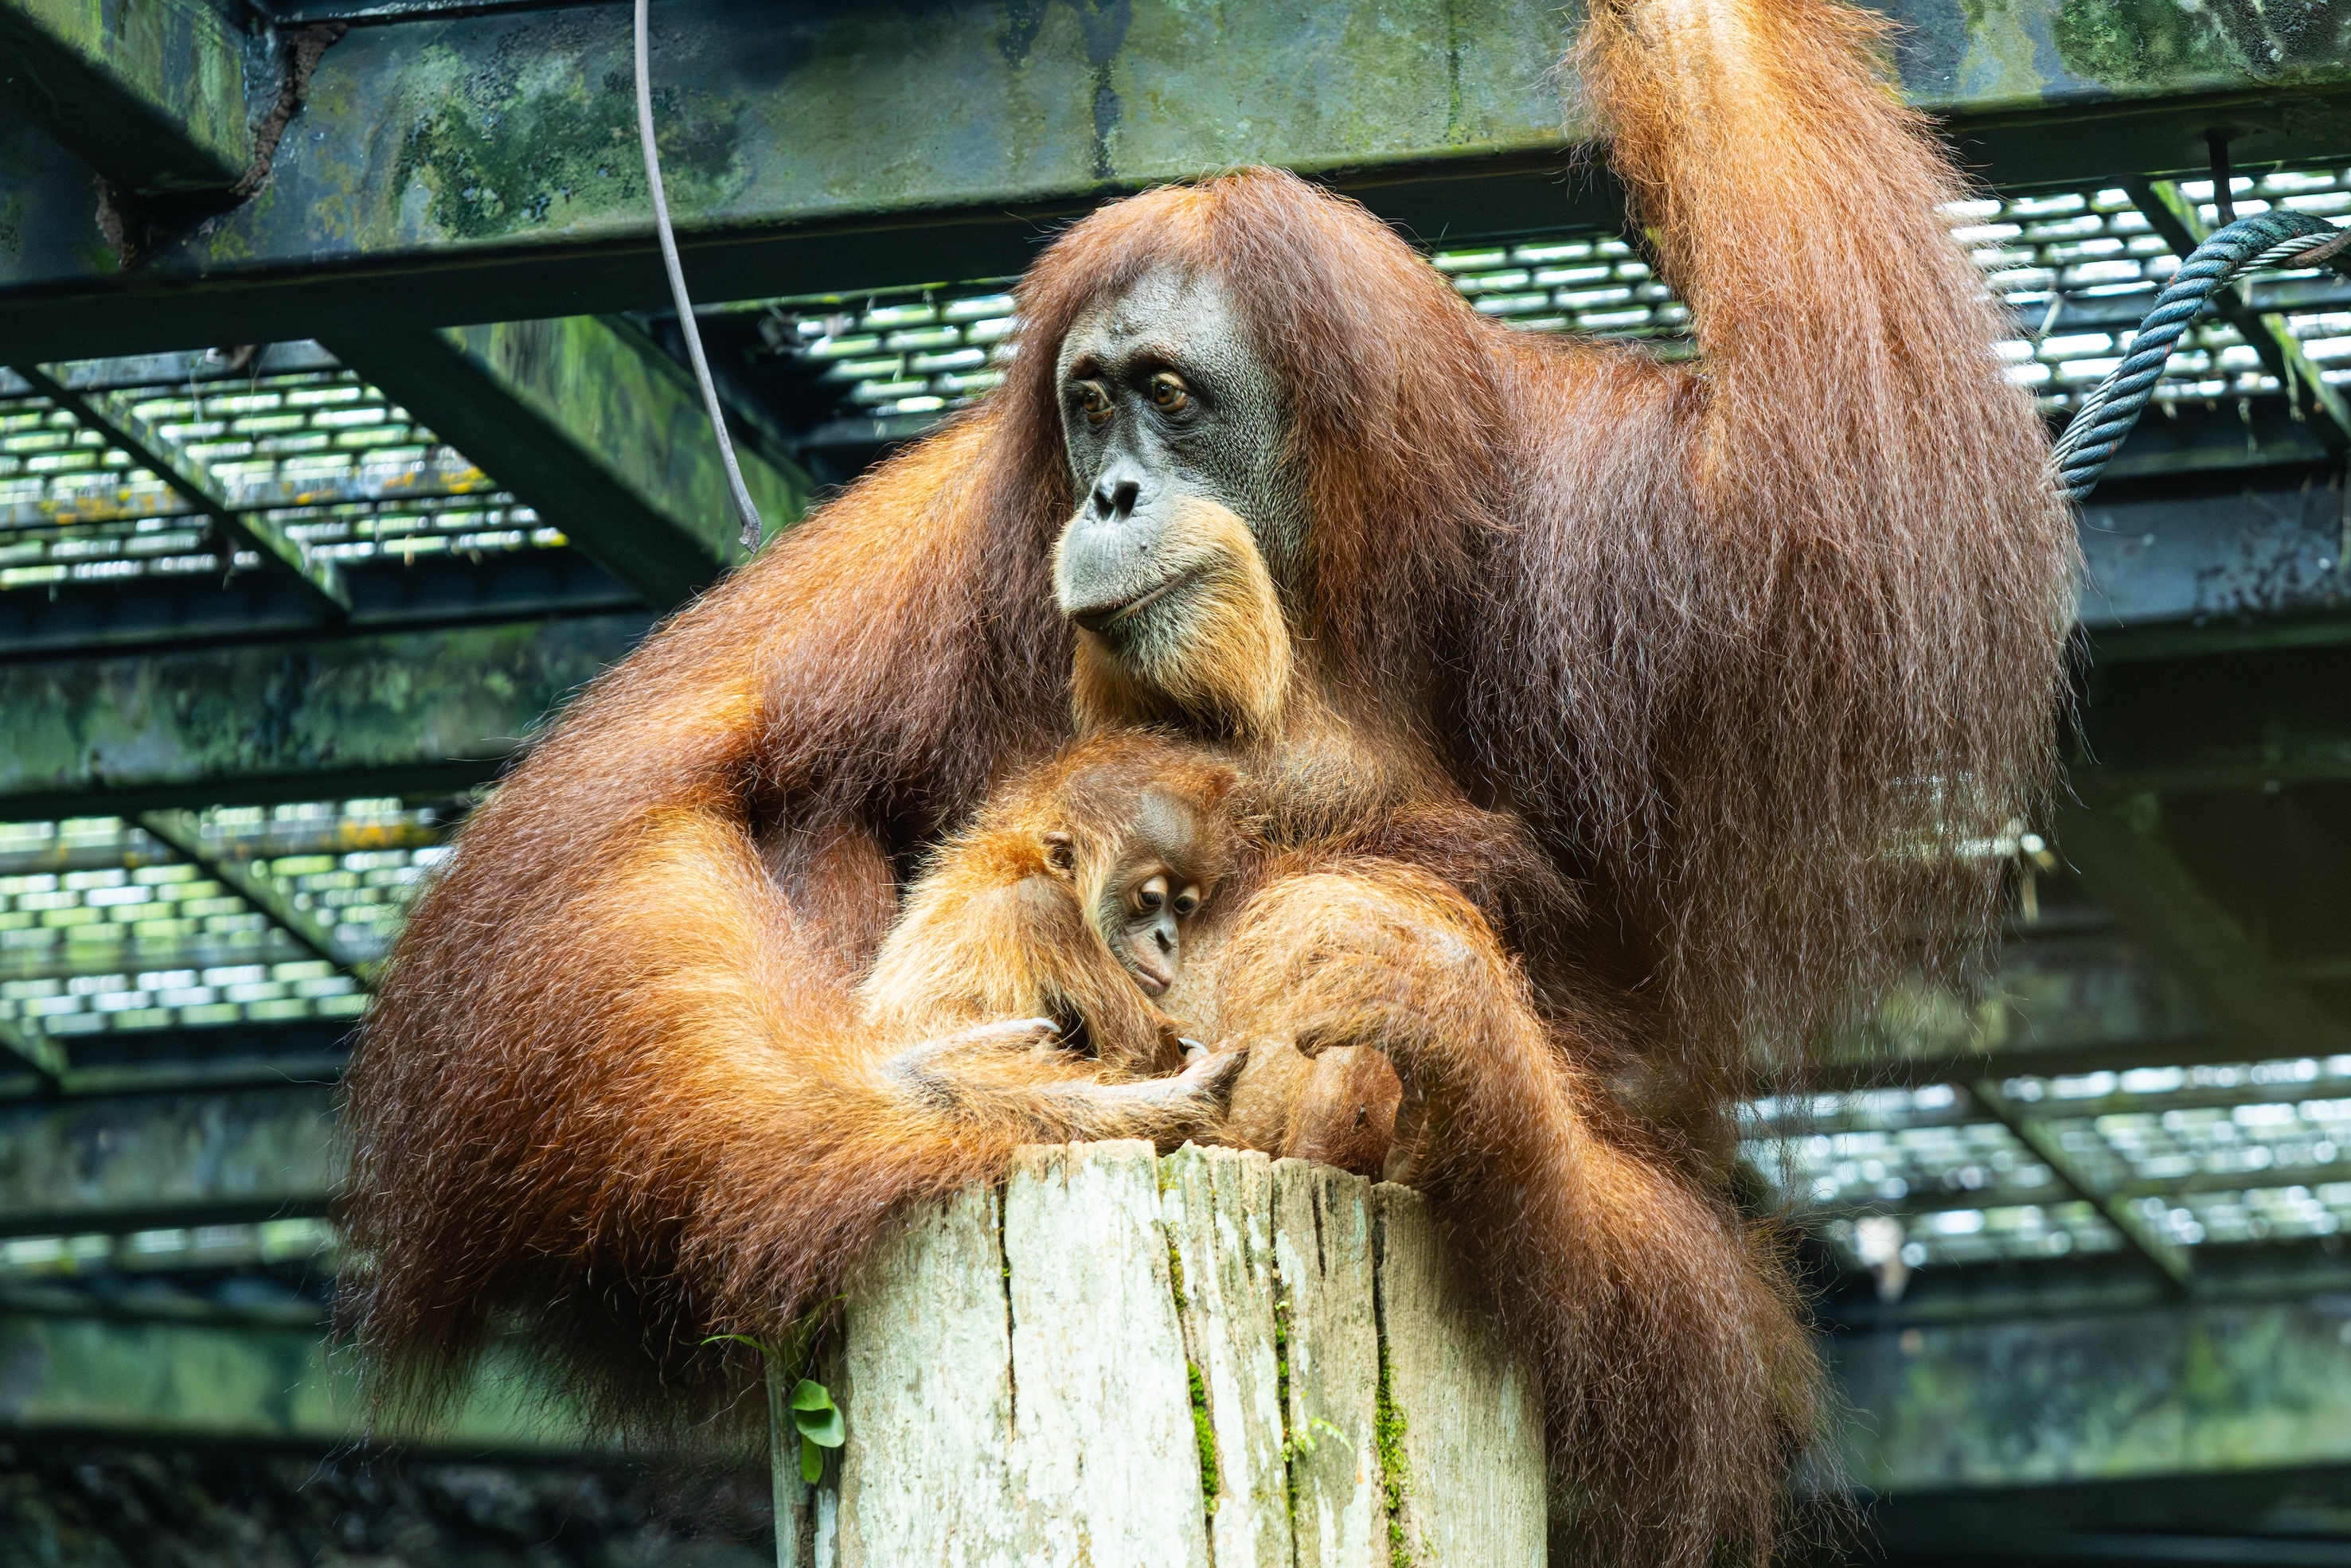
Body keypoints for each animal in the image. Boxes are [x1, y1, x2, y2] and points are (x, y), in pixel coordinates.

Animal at [344, 5, 2077, 1564]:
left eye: (1170, 394)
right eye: (1087, 403)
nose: (1110, 492)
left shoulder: (1603, 529)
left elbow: (1841, 507)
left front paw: (1425, 1000)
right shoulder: (945, 535)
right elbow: (627, 819)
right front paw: (965, 1093)